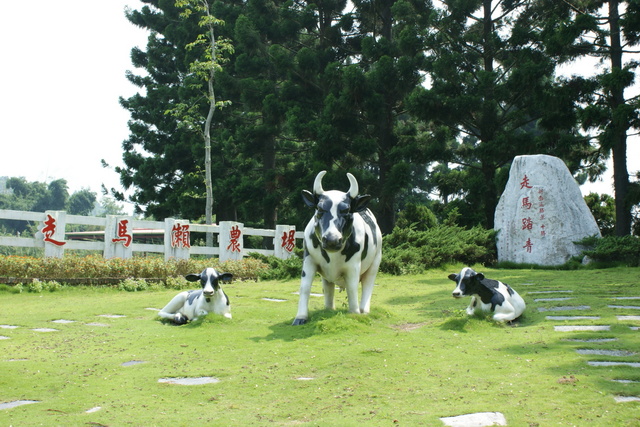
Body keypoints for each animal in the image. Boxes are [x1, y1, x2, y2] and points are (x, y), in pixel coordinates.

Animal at [294, 171, 382, 324]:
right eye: (319, 209)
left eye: (346, 210)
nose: (332, 240)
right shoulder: (309, 260)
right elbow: (305, 287)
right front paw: (300, 317)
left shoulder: (353, 266)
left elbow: (352, 288)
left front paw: (354, 313)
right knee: (328, 287)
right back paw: (329, 309)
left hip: (376, 261)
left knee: (368, 284)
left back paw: (363, 310)